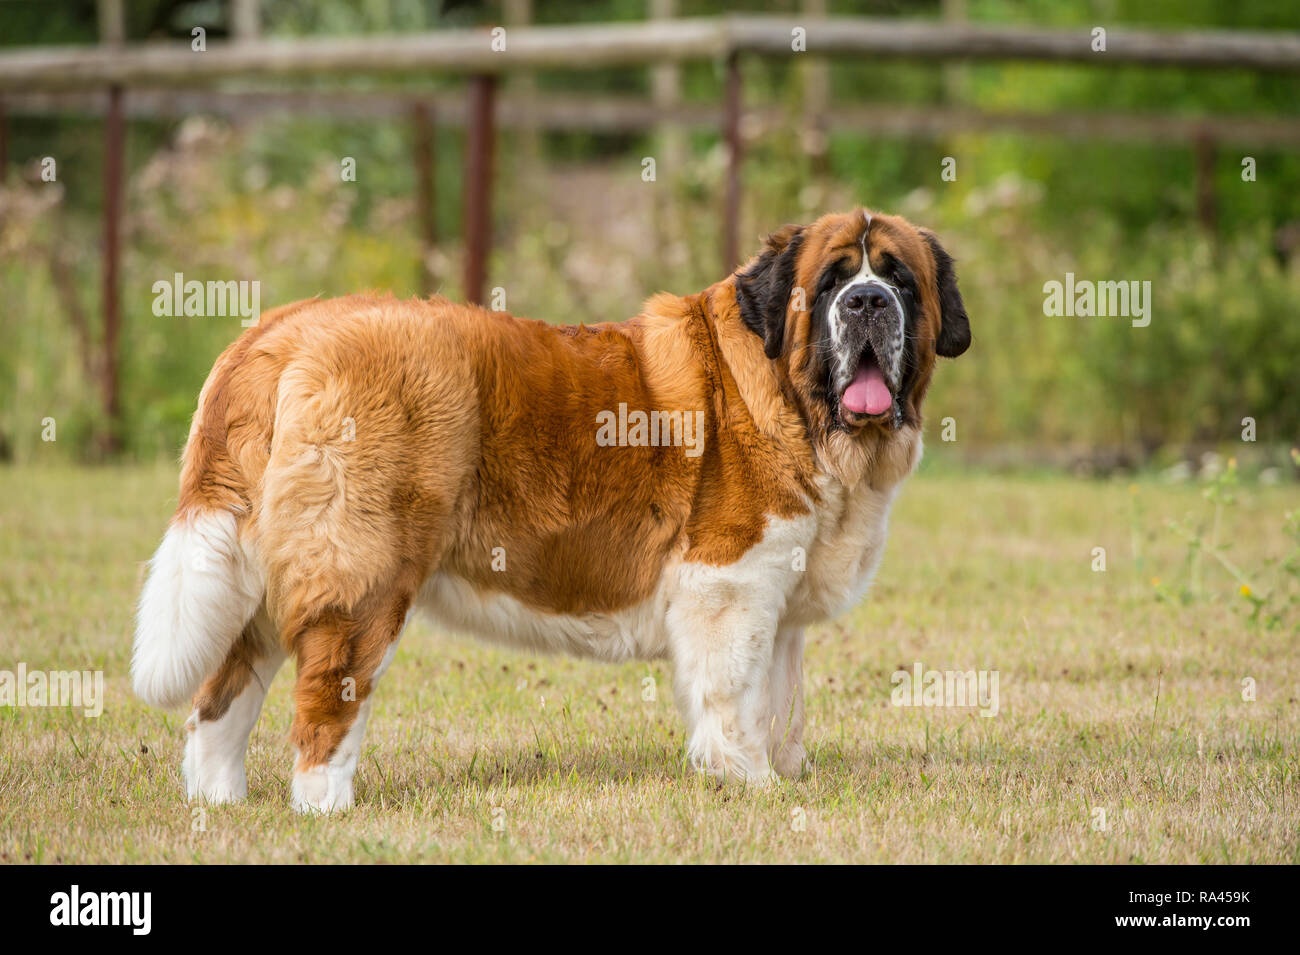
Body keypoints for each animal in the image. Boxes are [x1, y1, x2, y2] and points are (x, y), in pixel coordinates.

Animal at [134, 209, 967, 815]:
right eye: (831, 284)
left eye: (900, 281)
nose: (867, 302)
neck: (797, 406)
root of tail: (283, 328)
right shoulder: (728, 583)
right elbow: (734, 694)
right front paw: (749, 783)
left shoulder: (780, 598)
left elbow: (780, 697)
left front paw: (782, 775)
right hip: (363, 577)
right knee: (325, 699)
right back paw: (325, 808)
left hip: (260, 574)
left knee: (222, 695)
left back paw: (219, 802)